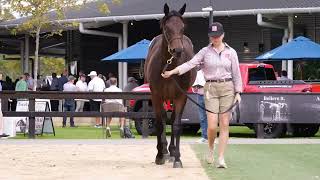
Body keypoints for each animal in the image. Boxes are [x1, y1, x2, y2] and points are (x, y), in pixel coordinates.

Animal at [144, 3, 195, 169]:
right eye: (167, 28)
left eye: (183, 27)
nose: (177, 51)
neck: (169, 66)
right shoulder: (156, 96)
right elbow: (160, 123)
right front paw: (160, 155)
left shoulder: (181, 96)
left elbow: (176, 124)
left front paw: (177, 158)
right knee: (164, 119)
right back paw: (164, 150)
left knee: (172, 120)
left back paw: (171, 151)